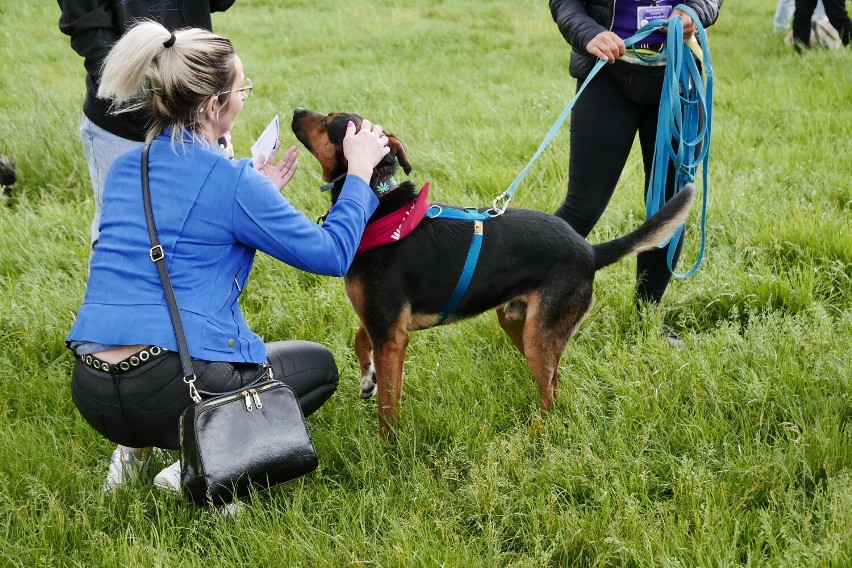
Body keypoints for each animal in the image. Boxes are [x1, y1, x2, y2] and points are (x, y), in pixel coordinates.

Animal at [292, 110, 692, 440]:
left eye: (330, 121)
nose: (296, 110)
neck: (379, 205)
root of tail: (590, 252)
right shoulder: (380, 322)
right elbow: (360, 339)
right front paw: (367, 379)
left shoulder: (391, 335)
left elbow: (388, 407)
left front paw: (388, 450)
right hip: (520, 324)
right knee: (555, 381)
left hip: (537, 336)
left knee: (550, 396)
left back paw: (538, 434)